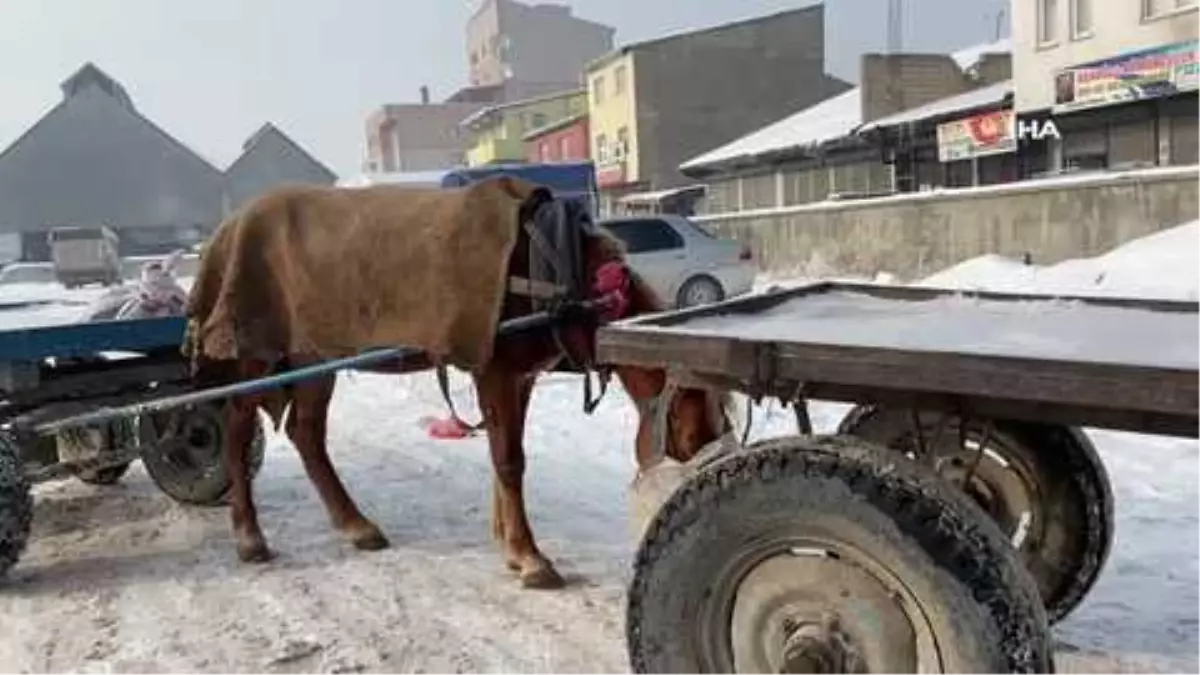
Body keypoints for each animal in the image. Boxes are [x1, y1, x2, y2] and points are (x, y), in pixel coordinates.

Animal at [196, 181, 729, 586]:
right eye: (697, 397)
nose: (710, 451)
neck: (561, 272)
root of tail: (228, 227)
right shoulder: (494, 369)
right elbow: (509, 461)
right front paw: (529, 557)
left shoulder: (520, 376)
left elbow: (503, 455)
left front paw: (509, 543)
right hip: (256, 354)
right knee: (238, 428)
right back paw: (249, 535)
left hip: (313, 356)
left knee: (306, 433)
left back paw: (355, 525)